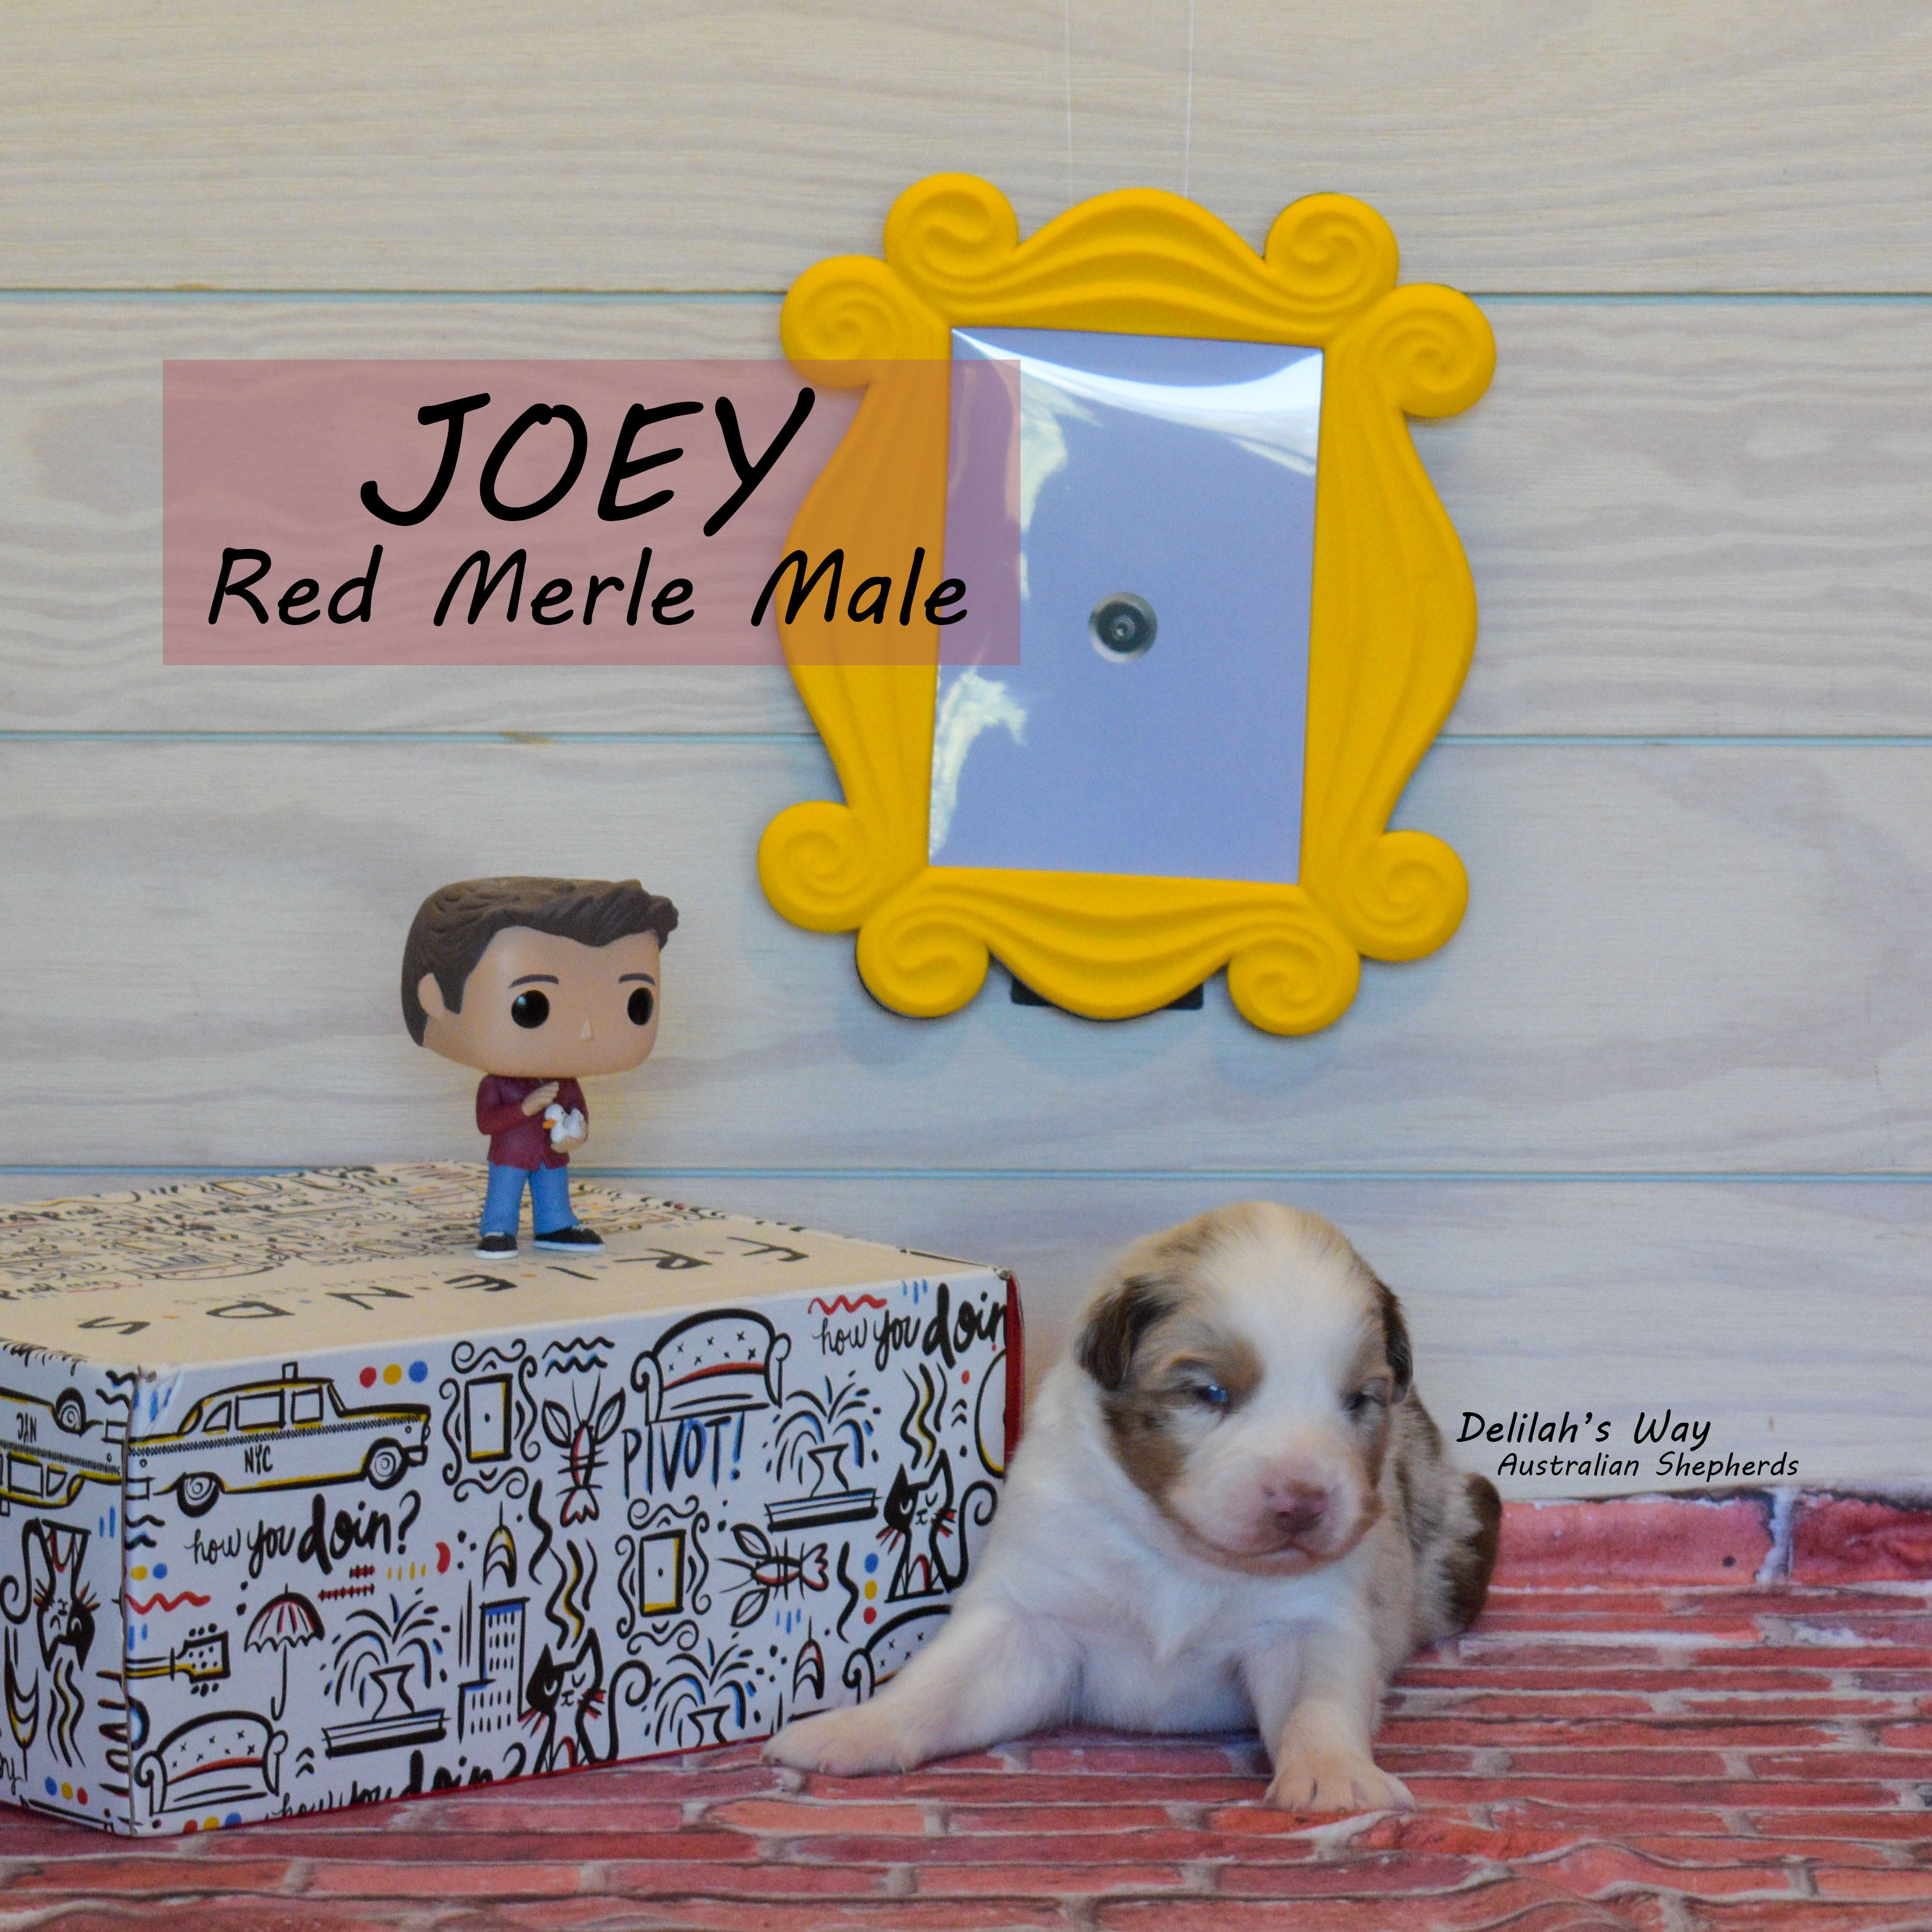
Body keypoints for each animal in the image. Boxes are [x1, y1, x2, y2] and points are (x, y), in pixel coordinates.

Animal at [765, 1202, 1501, 1812]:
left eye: (1358, 1401)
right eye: (1209, 1392)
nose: (1303, 1501)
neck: (1181, 1555)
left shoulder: (1309, 1619)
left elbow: (1318, 1701)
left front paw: (1334, 1775)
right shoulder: (1030, 1612)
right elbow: (937, 1686)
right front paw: (851, 1728)